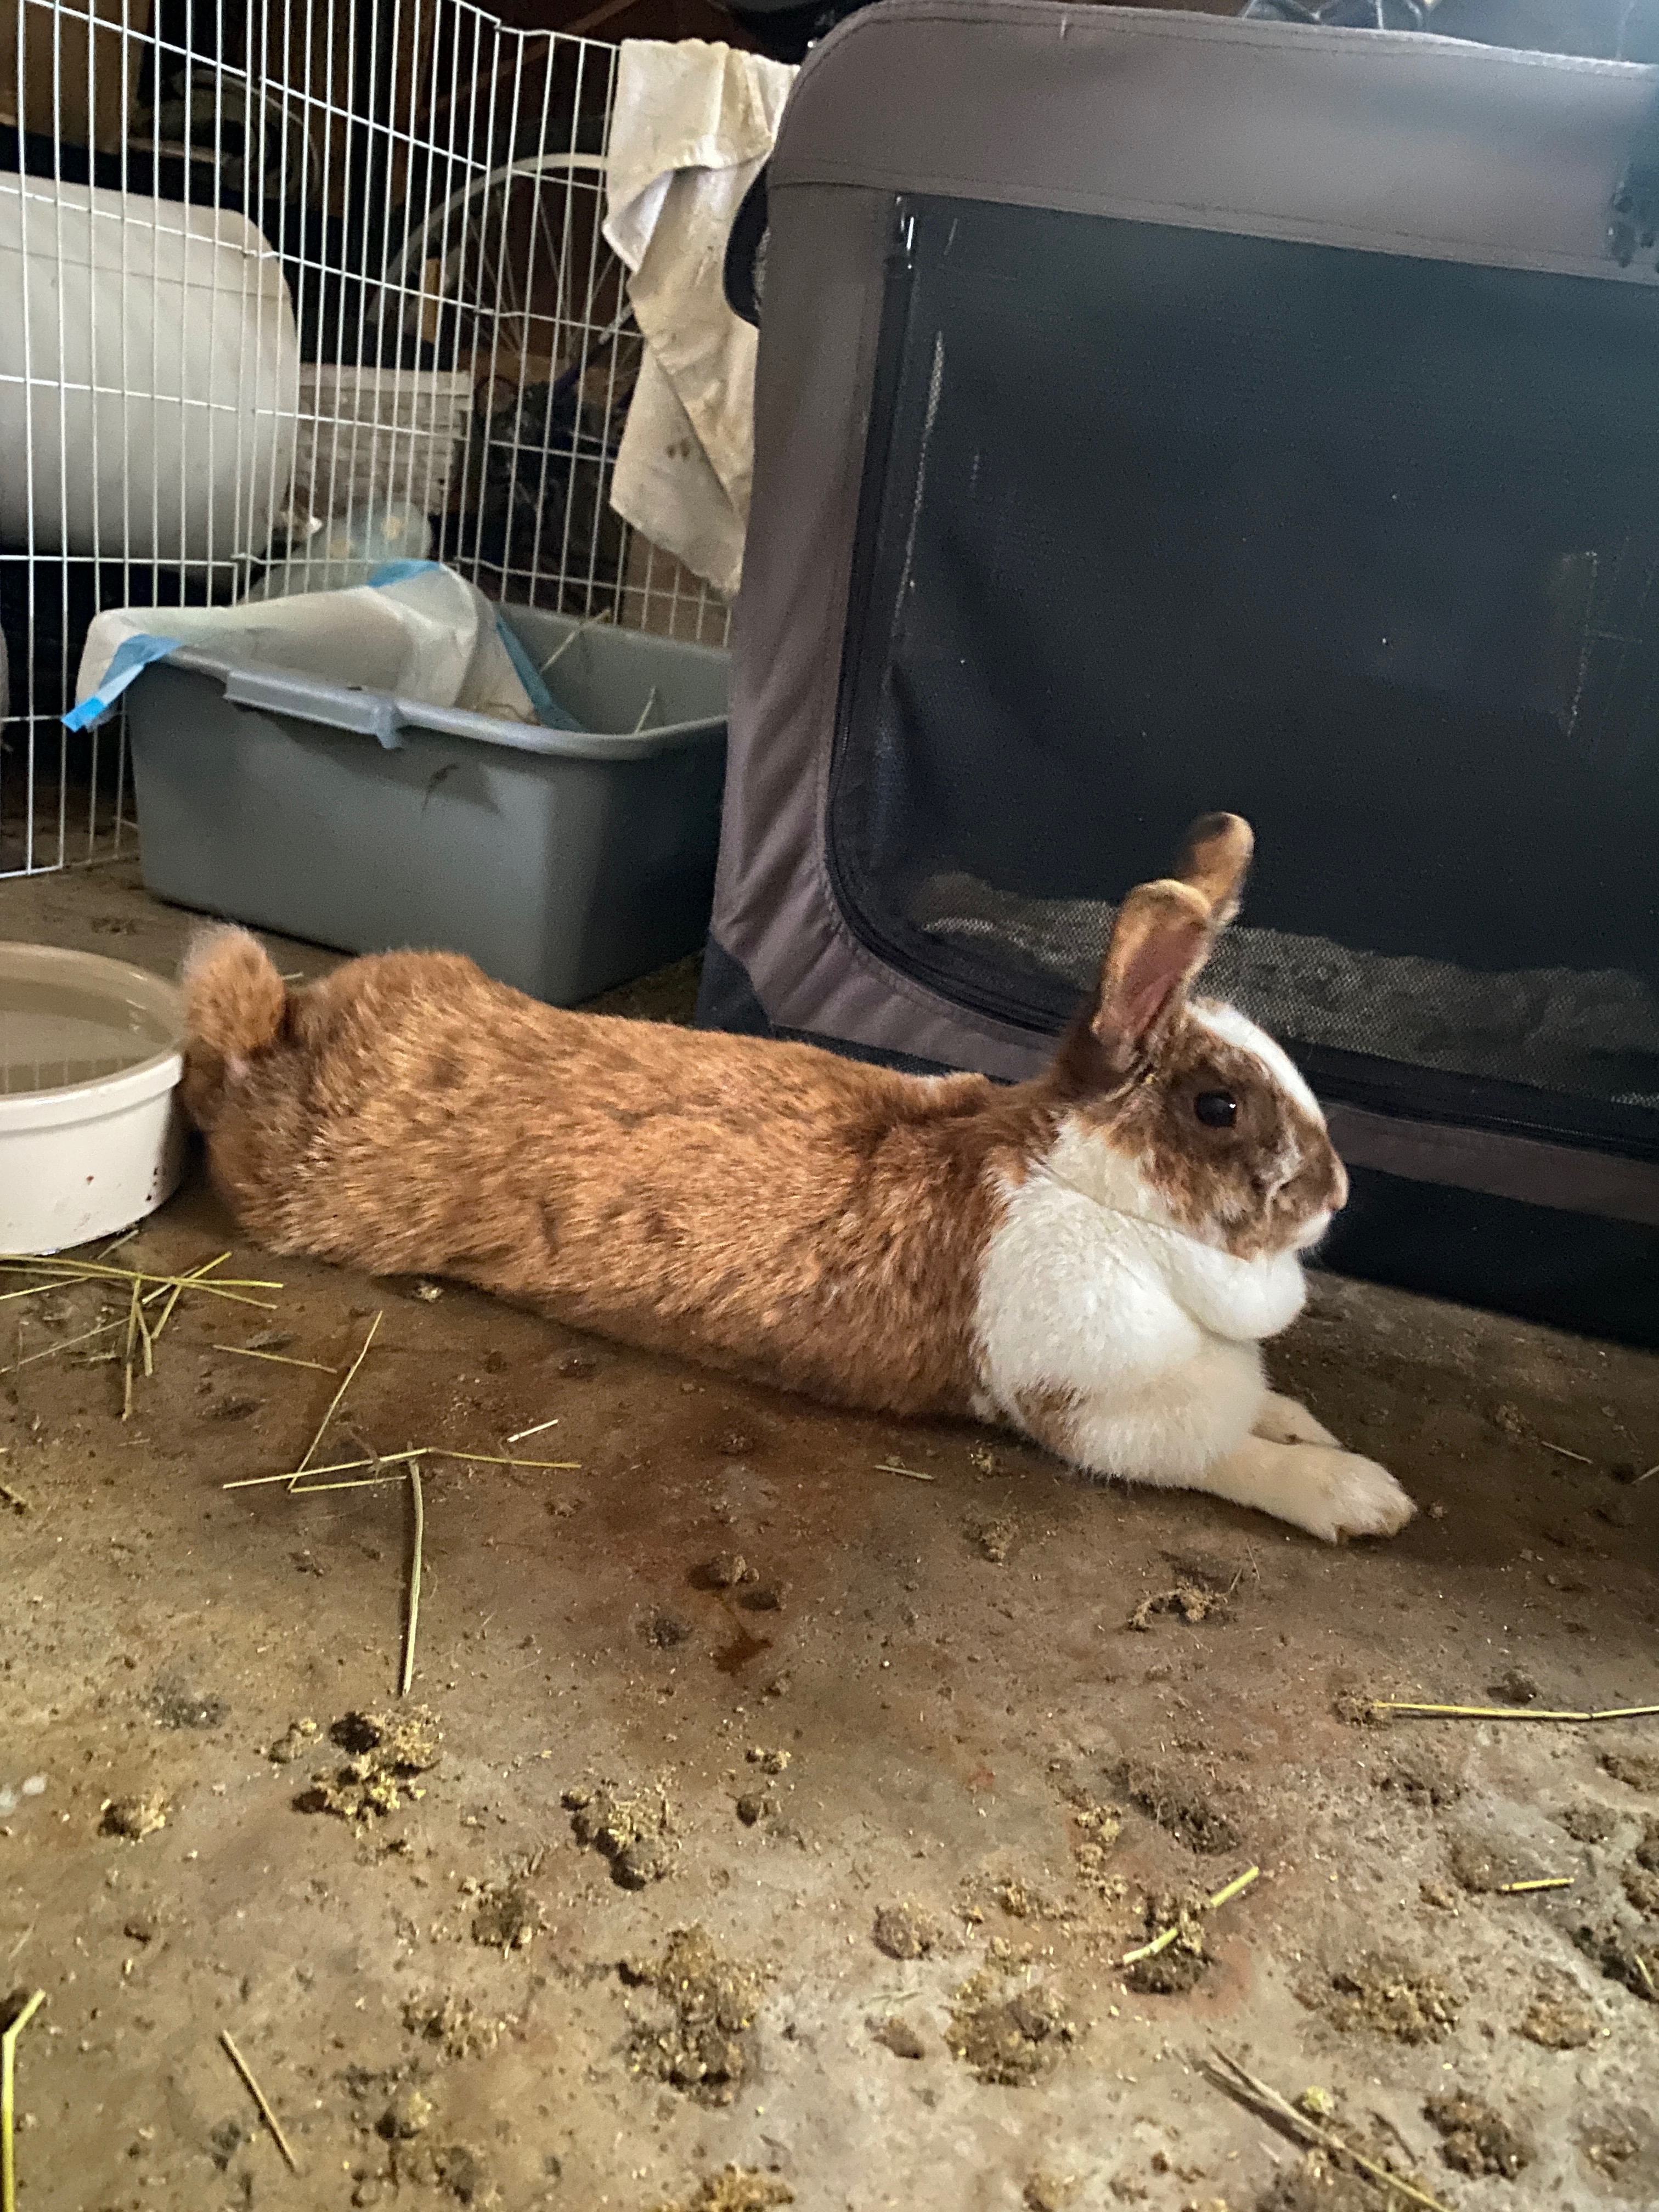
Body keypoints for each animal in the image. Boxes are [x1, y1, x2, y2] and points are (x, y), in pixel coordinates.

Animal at [179, 812, 1413, 1544]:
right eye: (1218, 1106)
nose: (1339, 1197)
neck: (1090, 1193)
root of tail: (286, 1034)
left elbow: (1269, 1412)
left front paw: (1314, 1431)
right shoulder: (1097, 1416)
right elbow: (1229, 1460)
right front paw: (1364, 1497)